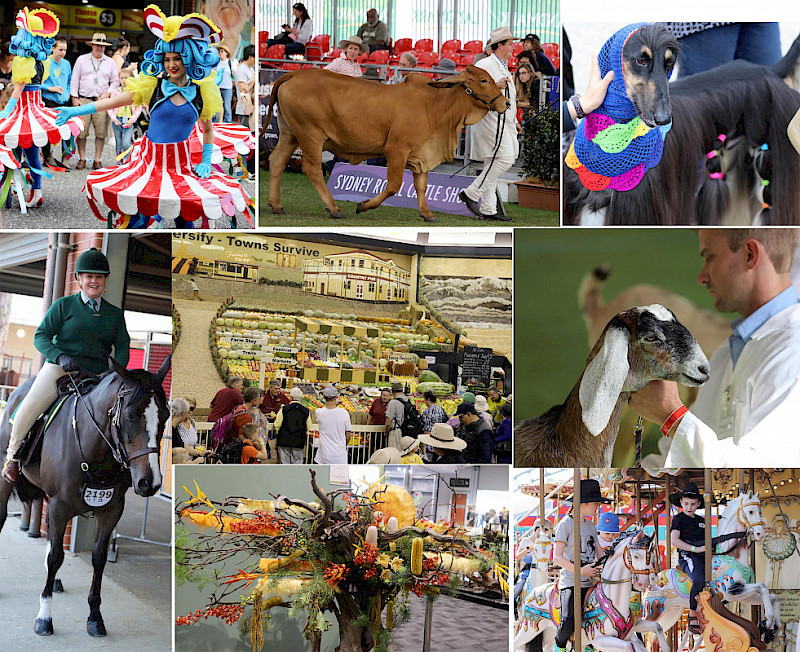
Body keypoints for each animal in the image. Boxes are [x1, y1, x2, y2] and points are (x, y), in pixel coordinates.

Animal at [268, 66, 506, 223]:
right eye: (484, 80)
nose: (506, 102)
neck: (434, 104)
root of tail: (294, 73)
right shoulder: (396, 150)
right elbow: (393, 185)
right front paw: (363, 205)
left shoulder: (421, 154)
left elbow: (421, 185)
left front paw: (427, 213)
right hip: (310, 136)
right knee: (312, 169)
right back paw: (333, 208)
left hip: (290, 134)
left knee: (276, 160)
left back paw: (276, 205)